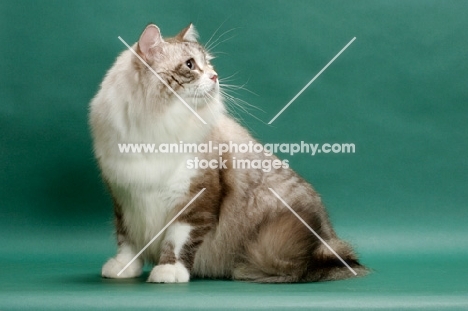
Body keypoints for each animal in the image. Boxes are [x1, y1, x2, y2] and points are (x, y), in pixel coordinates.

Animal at [89, 23, 368, 284]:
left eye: (209, 63)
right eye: (190, 65)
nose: (215, 76)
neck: (155, 123)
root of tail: (329, 245)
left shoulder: (195, 198)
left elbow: (177, 241)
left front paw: (169, 271)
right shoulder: (124, 197)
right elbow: (126, 241)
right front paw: (123, 268)